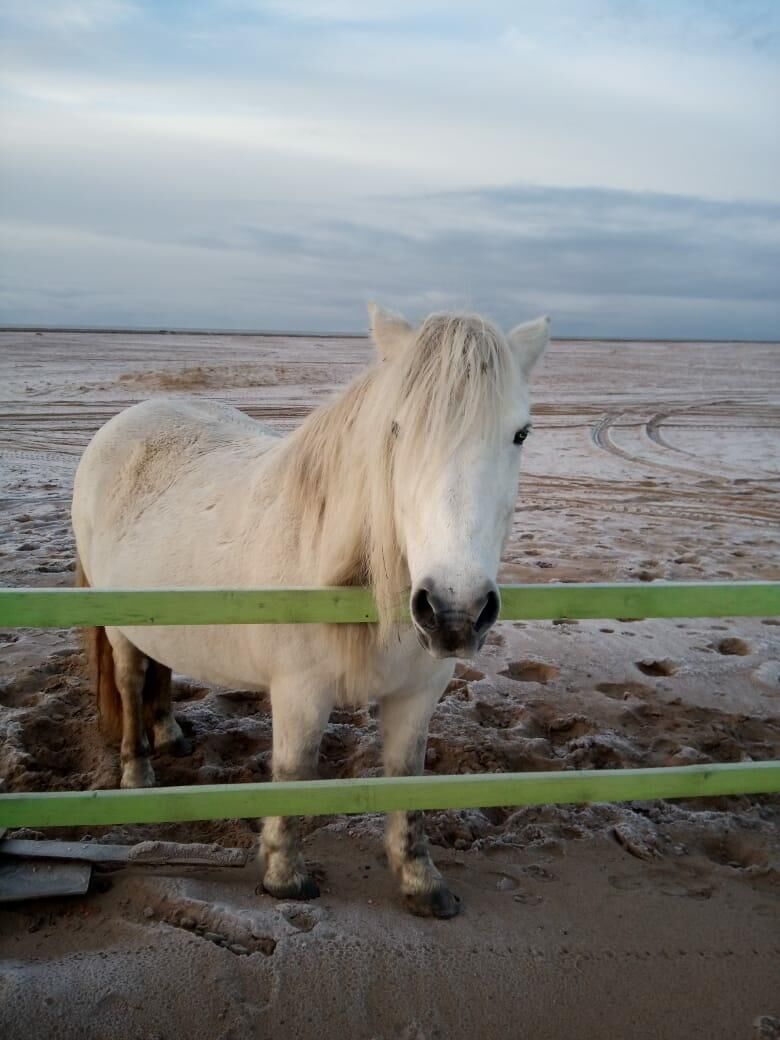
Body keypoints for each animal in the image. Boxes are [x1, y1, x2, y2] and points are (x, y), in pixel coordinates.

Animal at [73, 303, 549, 915]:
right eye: (396, 429)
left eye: (520, 433)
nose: (454, 610)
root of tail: (125, 421)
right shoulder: (300, 692)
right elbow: (295, 772)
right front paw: (284, 875)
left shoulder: (418, 693)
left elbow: (408, 776)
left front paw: (420, 880)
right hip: (121, 625)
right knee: (131, 680)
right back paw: (138, 770)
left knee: (162, 669)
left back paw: (170, 734)